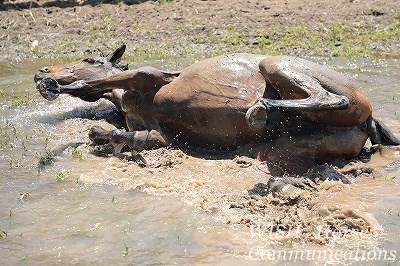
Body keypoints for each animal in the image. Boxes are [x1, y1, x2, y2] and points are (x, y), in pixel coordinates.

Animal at [34, 44, 400, 175]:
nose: (41, 72)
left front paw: (57, 88)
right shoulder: (163, 135)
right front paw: (105, 136)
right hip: (285, 149)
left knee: (329, 98)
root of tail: (368, 120)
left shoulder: (147, 75)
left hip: (278, 65)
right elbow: (130, 136)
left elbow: (91, 86)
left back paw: (261, 107)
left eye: (89, 58)